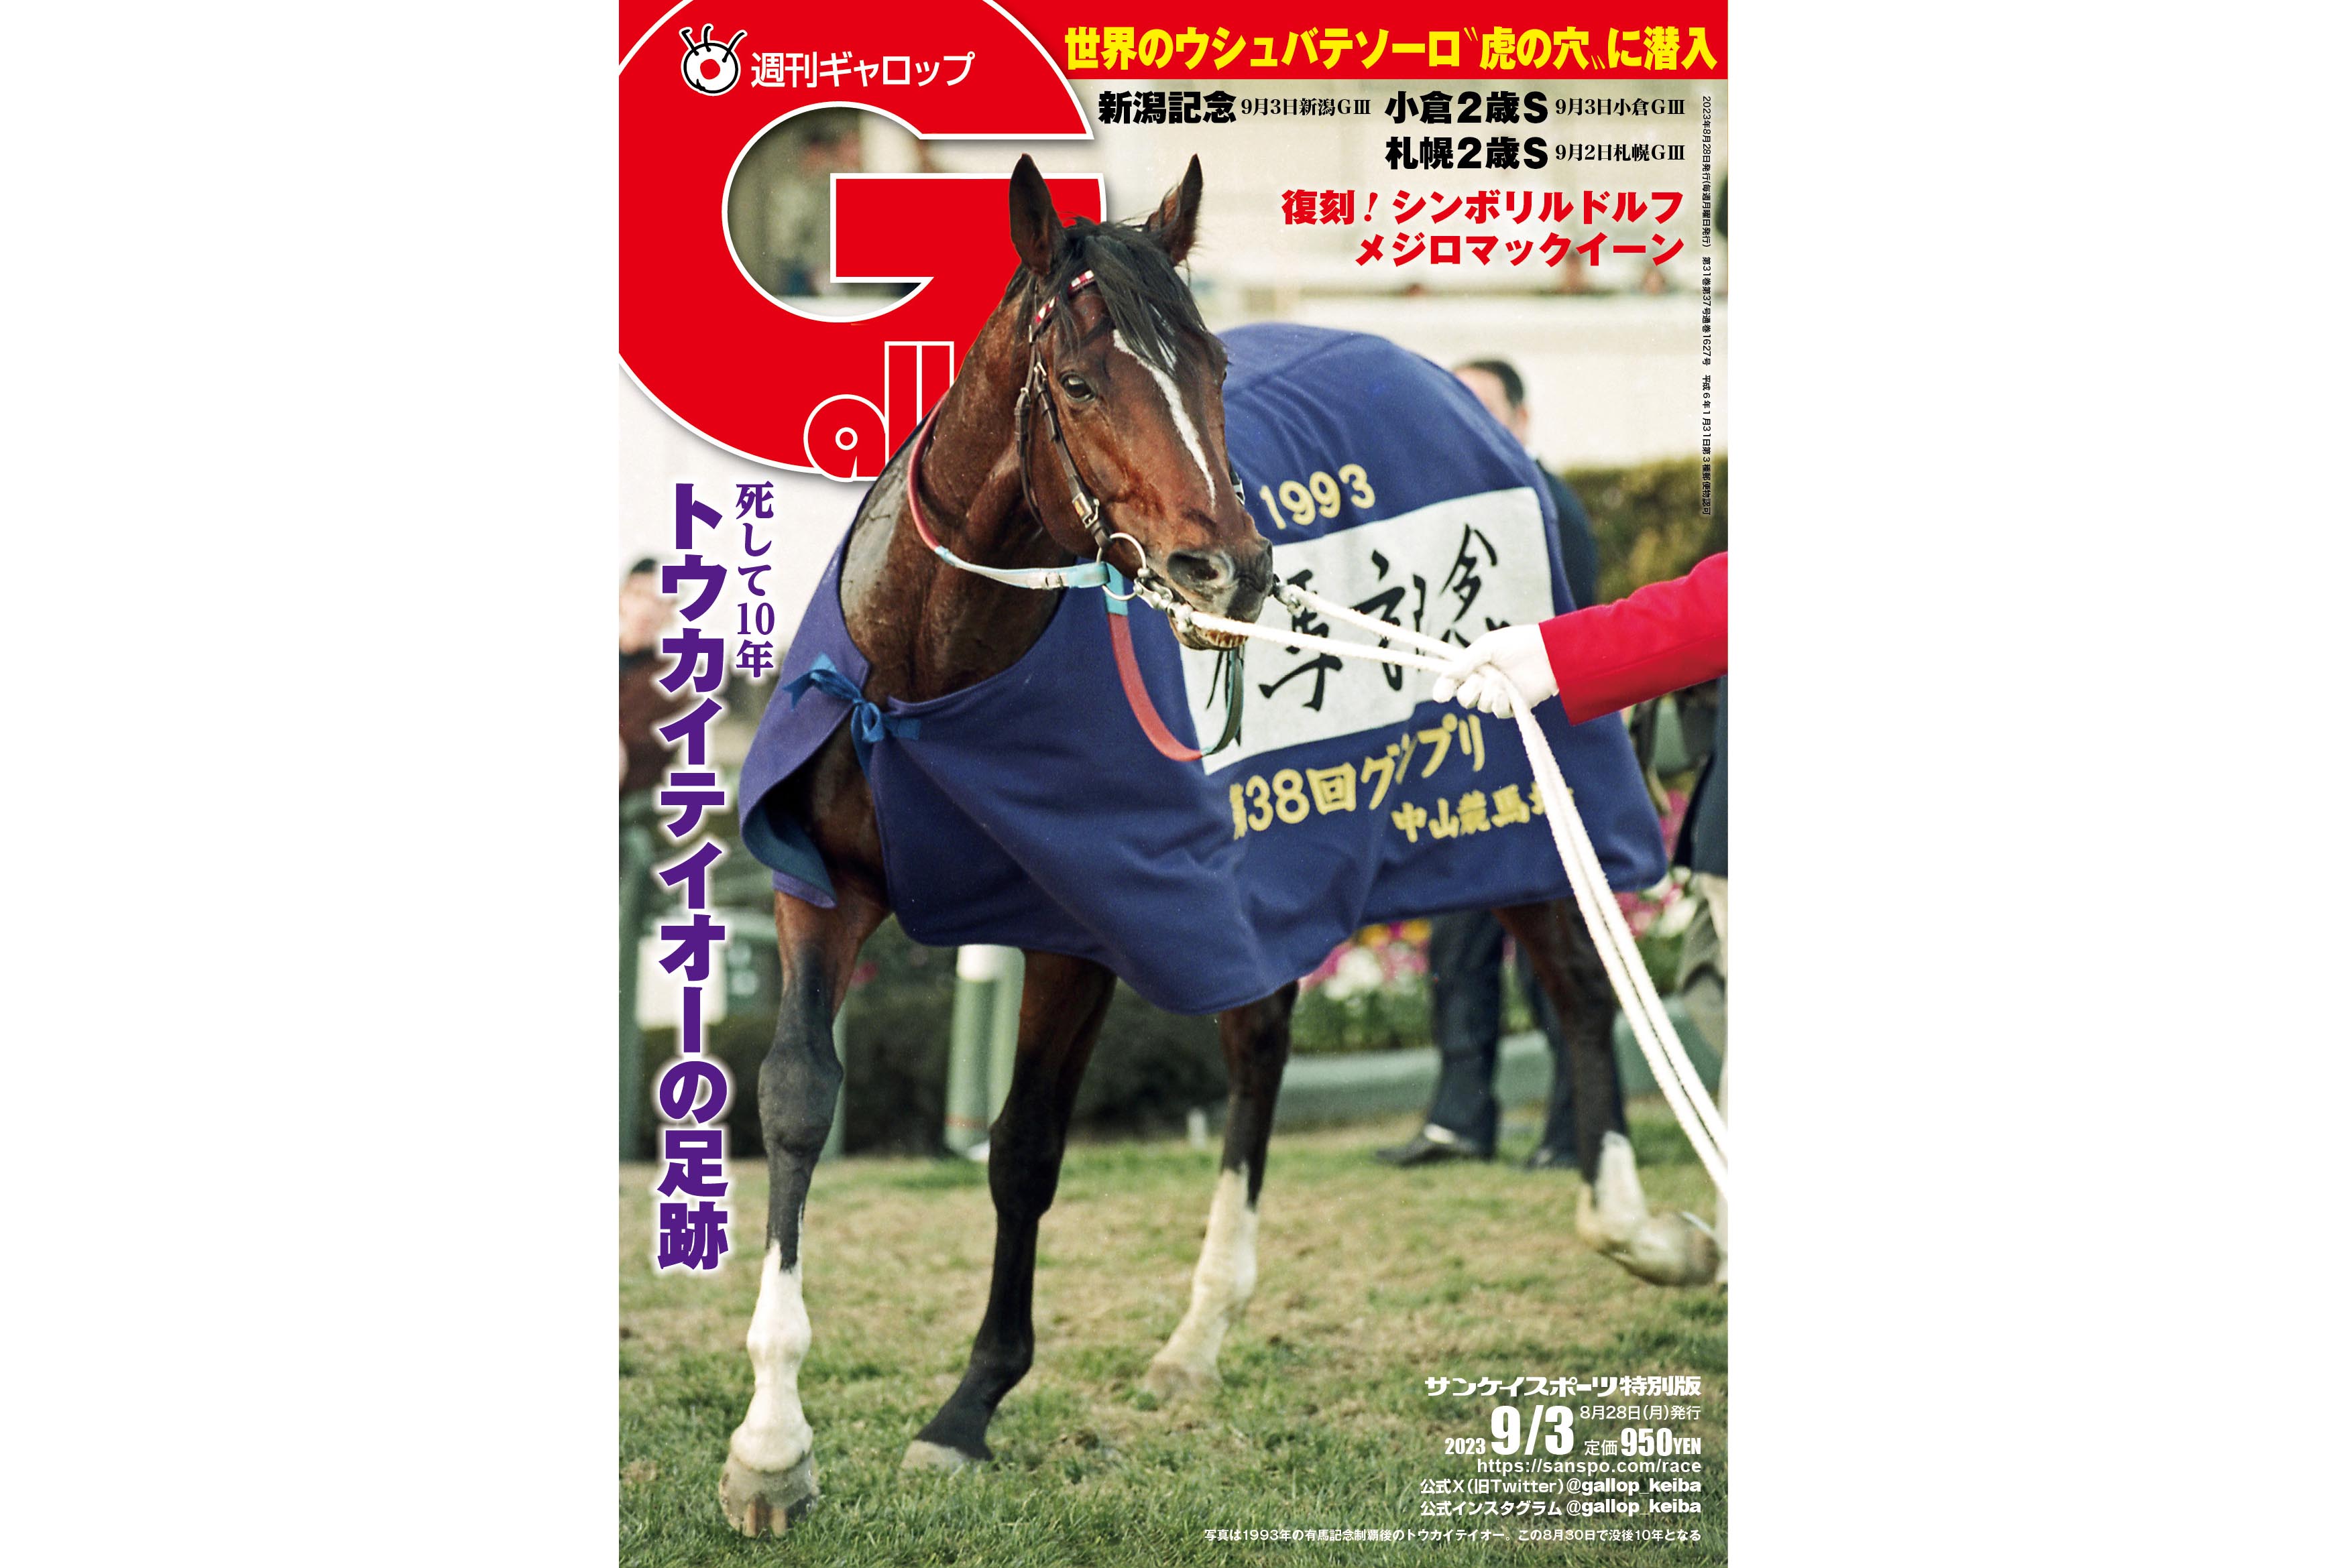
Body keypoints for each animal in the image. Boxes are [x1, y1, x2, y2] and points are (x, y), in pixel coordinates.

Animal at [714, 154, 1712, 1536]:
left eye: (1216, 371)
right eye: (1082, 382)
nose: (1227, 568)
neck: (933, 670)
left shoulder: (1084, 914)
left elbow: (1024, 1147)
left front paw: (968, 1406)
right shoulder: (827, 884)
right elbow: (801, 1099)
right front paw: (770, 1443)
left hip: (1498, 792)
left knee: (1569, 972)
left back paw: (1636, 1226)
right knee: (1263, 1040)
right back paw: (1200, 1331)